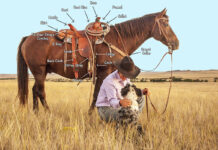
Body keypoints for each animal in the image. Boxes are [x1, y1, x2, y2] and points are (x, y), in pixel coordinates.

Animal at [17, 8, 179, 113]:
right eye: (165, 24)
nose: (176, 44)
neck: (115, 40)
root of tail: (29, 37)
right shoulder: (103, 72)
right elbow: (97, 95)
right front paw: (91, 115)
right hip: (39, 71)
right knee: (40, 91)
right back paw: (48, 113)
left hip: (41, 72)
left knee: (34, 90)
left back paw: (36, 113)